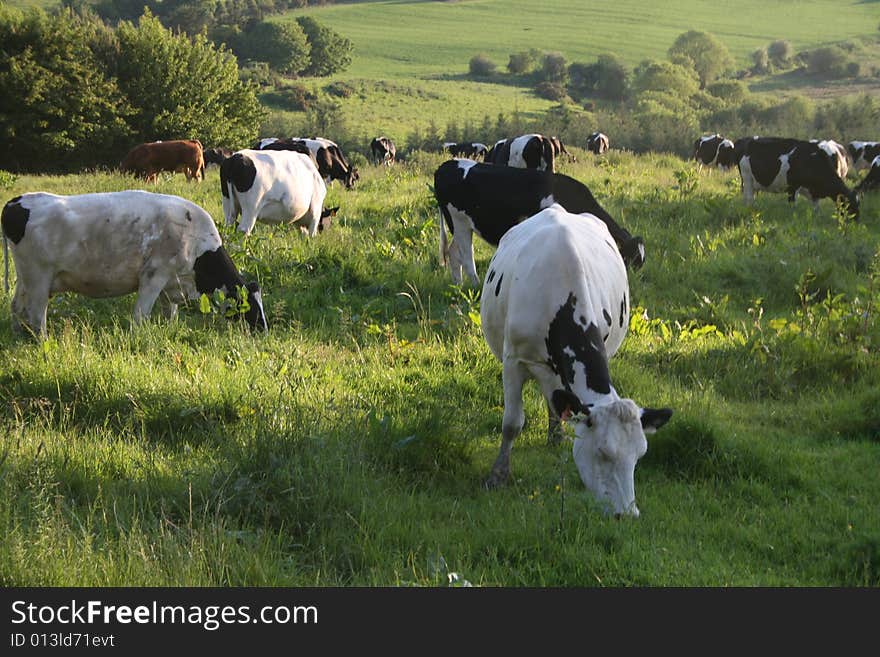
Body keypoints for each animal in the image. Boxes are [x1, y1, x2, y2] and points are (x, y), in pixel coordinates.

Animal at [1, 187, 266, 336]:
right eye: (252, 306)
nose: (263, 329)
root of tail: (18, 201)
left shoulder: (171, 284)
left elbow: (170, 314)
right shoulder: (154, 276)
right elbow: (141, 315)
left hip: (25, 278)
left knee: (16, 307)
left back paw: (17, 335)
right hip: (39, 278)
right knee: (37, 315)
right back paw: (42, 341)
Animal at [434, 159, 648, 284]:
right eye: (630, 259)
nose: (632, 283)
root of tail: (446, 165)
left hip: (461, 225)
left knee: (453, 252)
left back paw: (459, 285)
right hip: (459, 222)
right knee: (466, 257)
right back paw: (476, 286)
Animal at [478, 208, 672, 516]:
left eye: (639, 456)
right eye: (603, 452)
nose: (628, 514)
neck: (561, 300)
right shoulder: (513, 361)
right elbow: (512, 423)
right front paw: (497, 476)